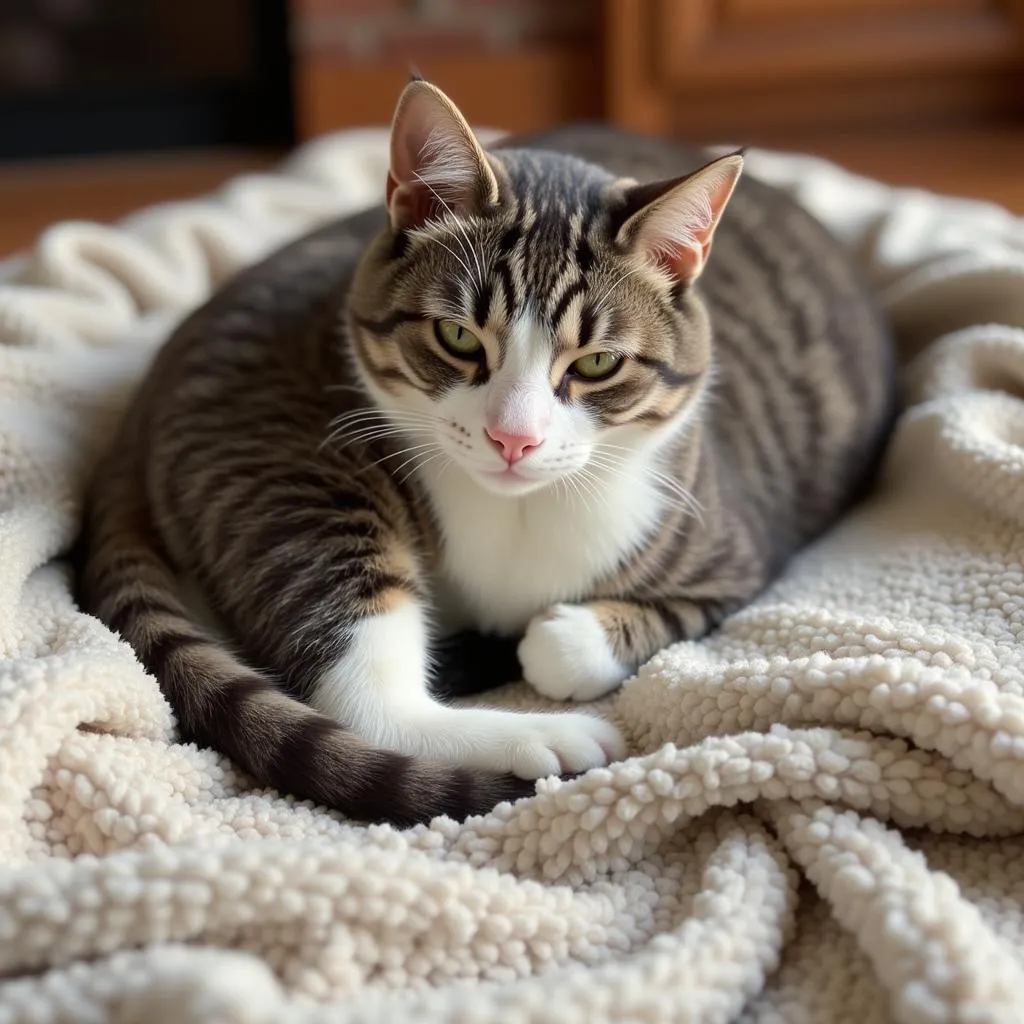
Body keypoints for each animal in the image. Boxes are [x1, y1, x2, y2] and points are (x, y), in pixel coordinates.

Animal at [77, 81, 897, 831]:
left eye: (597, 363)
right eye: (459, 337)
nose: (514, 437)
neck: (517, 514)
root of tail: (139, 410)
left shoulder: (734, 555)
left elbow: (608, 635)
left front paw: (564, 639)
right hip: (288, 469)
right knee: (368, 700)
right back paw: (543, 740)